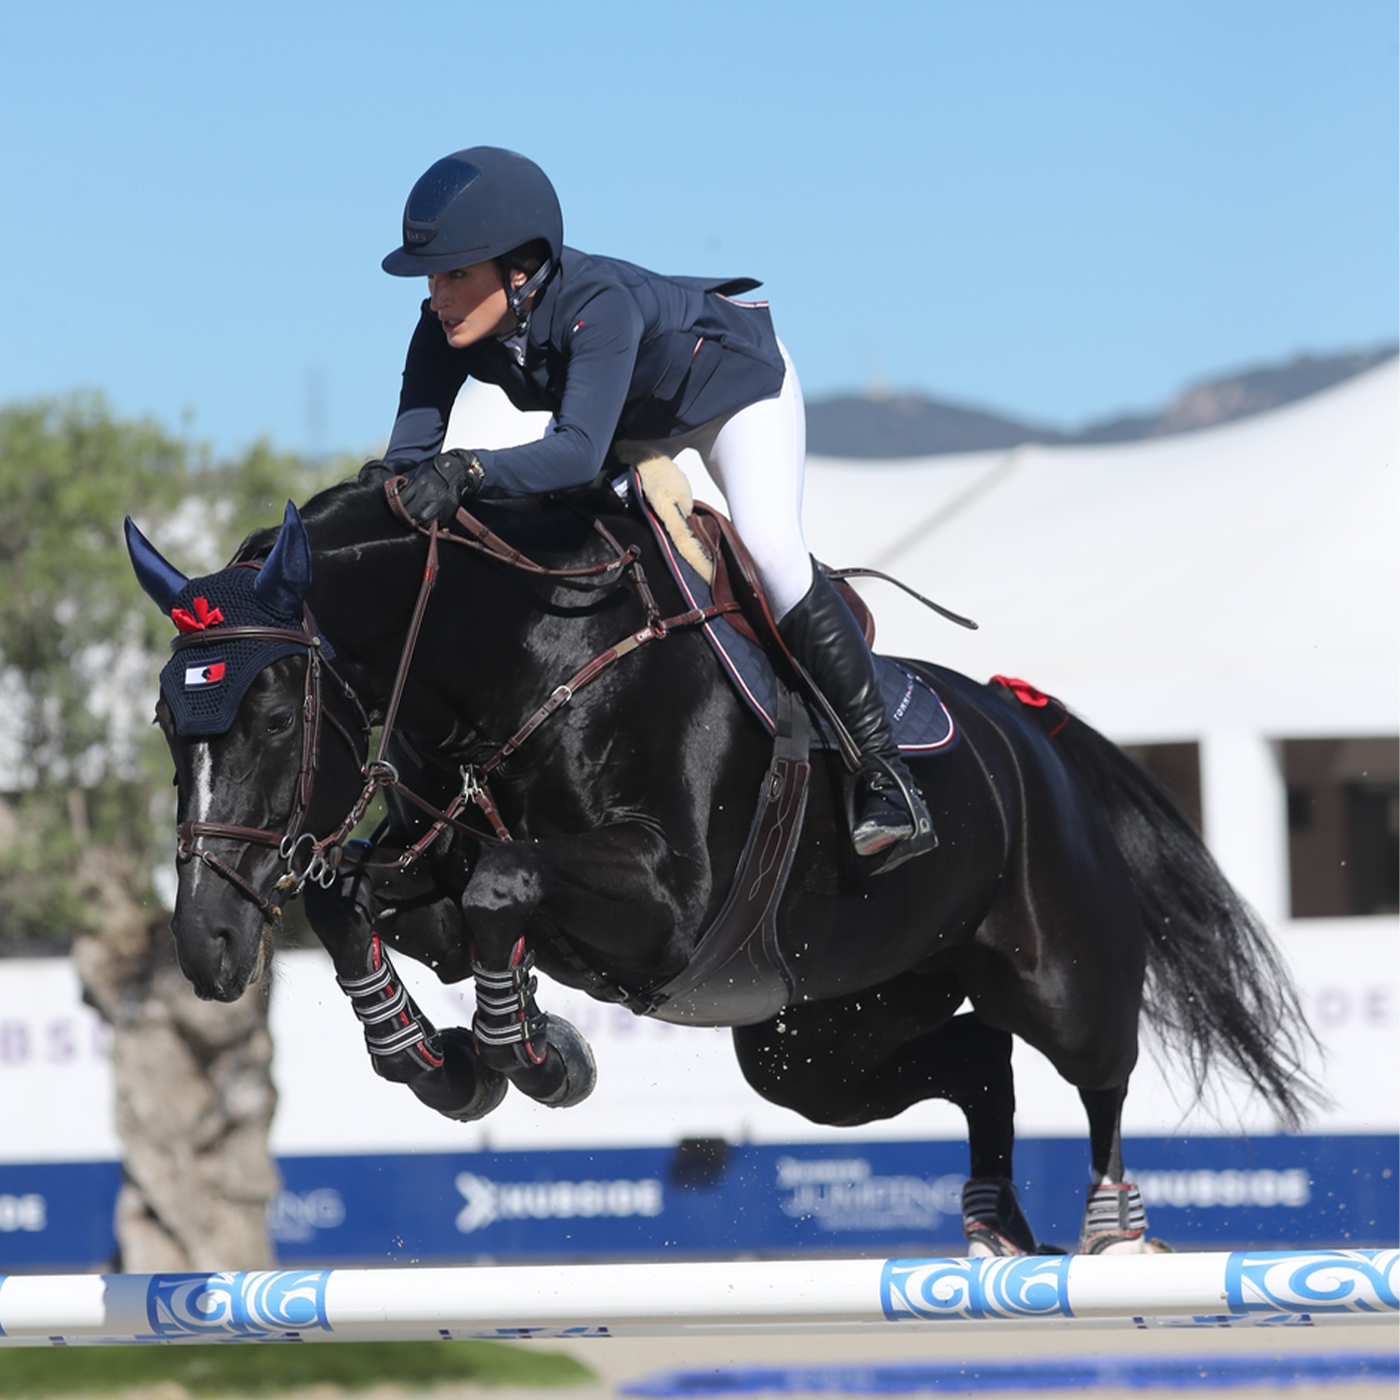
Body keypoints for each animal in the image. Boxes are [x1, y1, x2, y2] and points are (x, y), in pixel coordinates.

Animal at [126, 478, 1316, 1260]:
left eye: (275, 716)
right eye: (166, 722)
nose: (209, 948)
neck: (532, 655)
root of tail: (1030, 726)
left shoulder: (670, 901)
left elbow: (503, 880)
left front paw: (534, 1058)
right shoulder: (439, 878)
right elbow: (361, 900)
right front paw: (447, 1063)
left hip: (1055, 970)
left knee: (1097, 1070)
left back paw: (1114, 1233)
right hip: (816, 1043)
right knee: (977, 1057)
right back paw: (992, 1227)